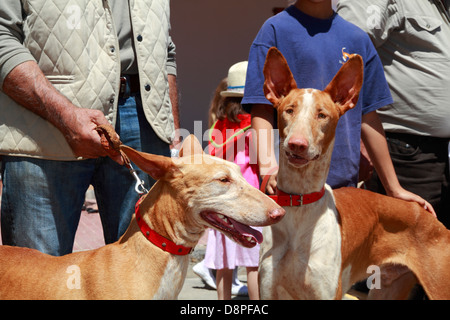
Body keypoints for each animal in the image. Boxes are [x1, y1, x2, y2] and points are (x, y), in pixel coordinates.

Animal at [256, 47, 450, 300]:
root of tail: (433, 220)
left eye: (322, 115)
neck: (300, 202)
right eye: (289, 110)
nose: (297, 144)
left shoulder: (326, 293)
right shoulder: (268, 291)